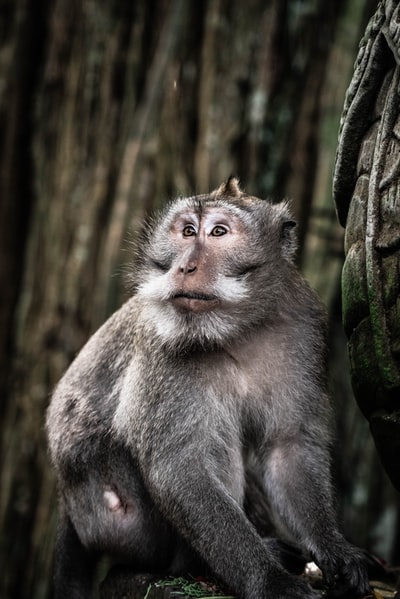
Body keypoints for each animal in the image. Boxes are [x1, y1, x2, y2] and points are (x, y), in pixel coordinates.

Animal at [46, 178, 368, 599]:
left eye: (218, 232)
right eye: (187, 231)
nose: (185, 266)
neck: (237, 329)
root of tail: (68, 508)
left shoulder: (302, 327)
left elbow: (287, 447)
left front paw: (336, 550)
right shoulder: (163, 342)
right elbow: (181, 469)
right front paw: (271, 581)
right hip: (120, 518)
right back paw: (208, 564)